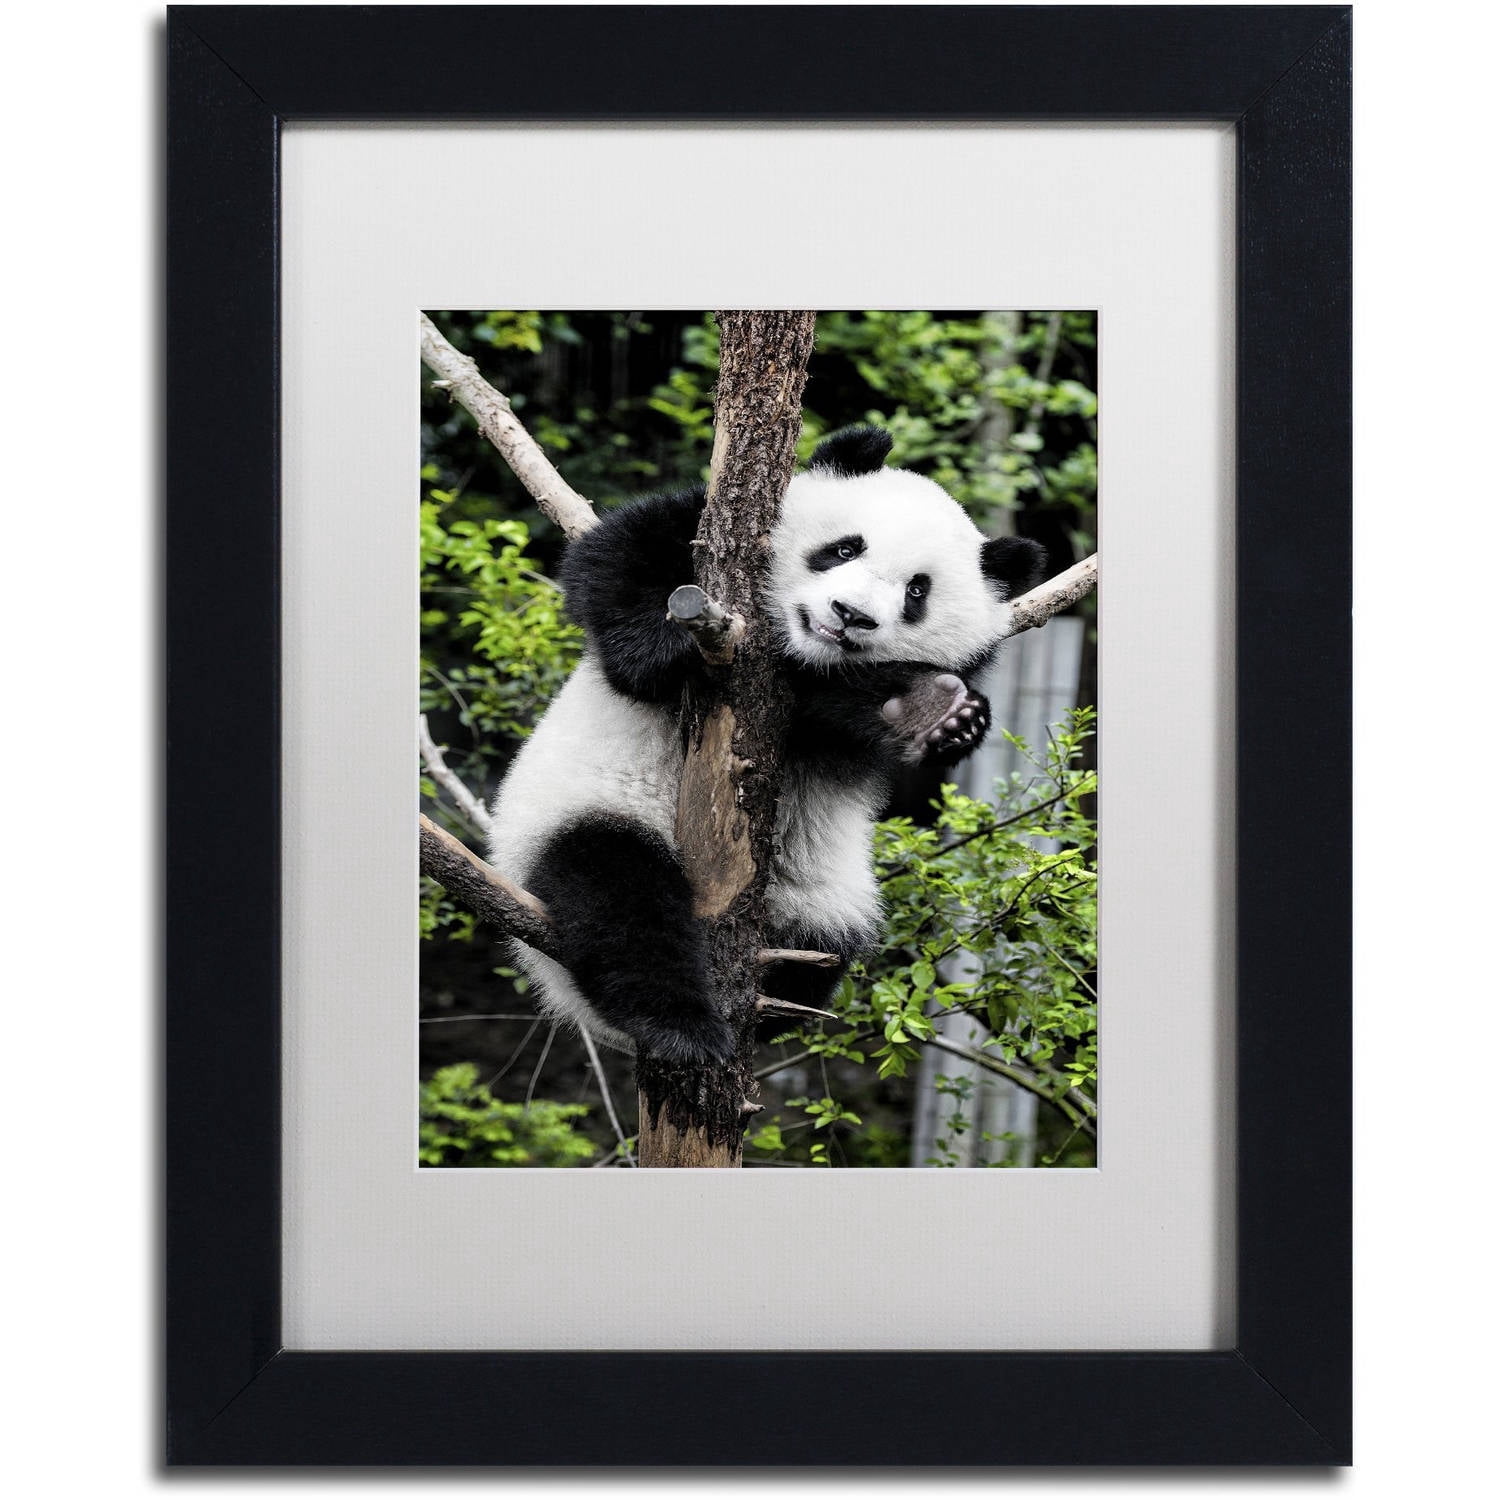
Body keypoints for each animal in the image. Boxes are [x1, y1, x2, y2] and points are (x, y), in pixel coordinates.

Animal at [487, 426, 1046, 1064]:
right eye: (845, 549)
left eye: (916, 592)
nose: (849, 615)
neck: (796, 651)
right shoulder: (698, 537)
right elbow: (616, 563)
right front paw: (665, 648)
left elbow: (886, 760)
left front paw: (934, 714)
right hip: (573, 813)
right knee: (618, 898)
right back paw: (678, 1025)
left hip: (822, 900)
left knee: (825, 947)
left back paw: (771, 1005)